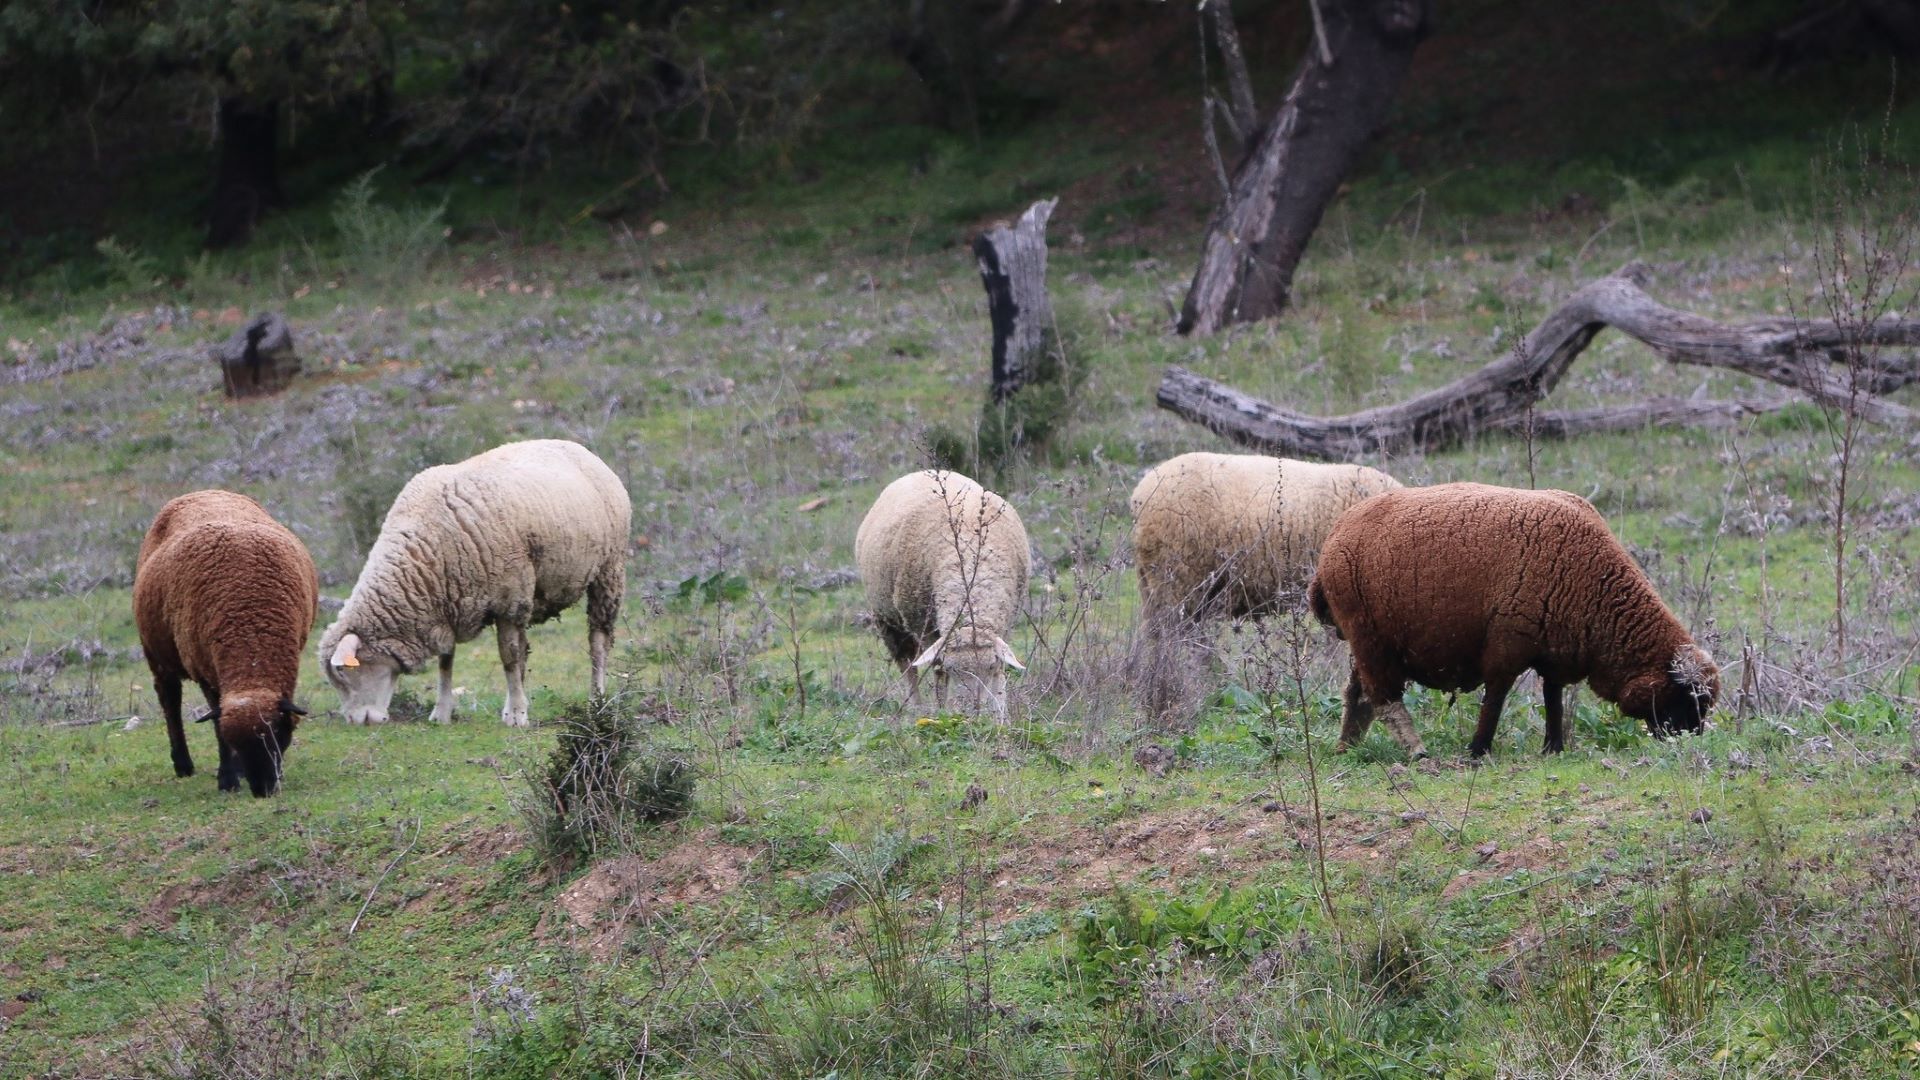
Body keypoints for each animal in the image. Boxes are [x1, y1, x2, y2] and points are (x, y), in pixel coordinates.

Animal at [133, 491, 318, 795]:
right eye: (238, 744)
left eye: (276, 735)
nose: (263, 791)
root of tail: (201, 491)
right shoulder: (205, 670)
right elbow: (217, 727)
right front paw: (228, 779)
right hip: (156, 652)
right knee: (169, 700)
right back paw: (183, 765)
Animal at [318, 434, 633, 722]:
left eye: (343, 671)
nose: (356, 721)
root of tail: (579, 448)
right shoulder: (447, 603)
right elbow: (447, 662)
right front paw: (442, 712)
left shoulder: (509, 600)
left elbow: (509, 657)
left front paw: (516, 715)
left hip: (608, 571)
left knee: (598, 642)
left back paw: (596, 700)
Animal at [860, 468, 1036, 714]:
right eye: (952, 669)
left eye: (990, 667)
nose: (971, 712)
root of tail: (919, 472)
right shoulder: (924, 628)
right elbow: (937, 674)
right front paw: (943, 711)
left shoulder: (1006, 622)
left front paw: (1000, 714)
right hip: (887, 621)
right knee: (907, 667)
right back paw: (916, 709)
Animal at [1313, 478, 1720, 757]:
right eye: (1686, 699)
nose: (1691, 744)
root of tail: (1334, 538)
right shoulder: (1506, 644)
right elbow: (1495, 698)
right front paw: (1478, 750)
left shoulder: (1556, 651)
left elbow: (1553, 698)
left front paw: (1553, 747)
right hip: (1369, 636)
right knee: (1383, 698)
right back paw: (1416, 751)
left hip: (1367, 641)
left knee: (1356, 694)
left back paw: (1347, 746)